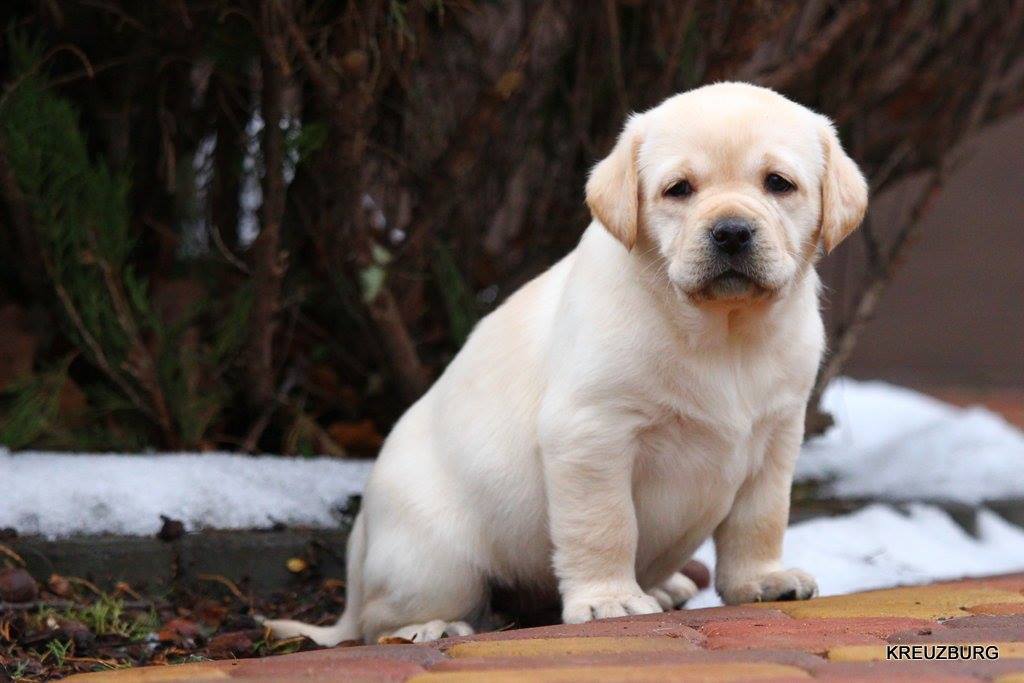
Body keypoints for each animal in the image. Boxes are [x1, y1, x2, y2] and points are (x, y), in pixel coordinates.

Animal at [264, 82, 868, 645]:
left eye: (778, 183)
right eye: (679, 190)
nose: (732, 232)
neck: (725, 334)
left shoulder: (777, 434)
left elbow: (759, 519)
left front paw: (758, 581)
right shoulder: (591, 432)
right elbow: (605, 525)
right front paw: (609, 600)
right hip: (437, 560)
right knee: (382, 621)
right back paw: (433, 628)